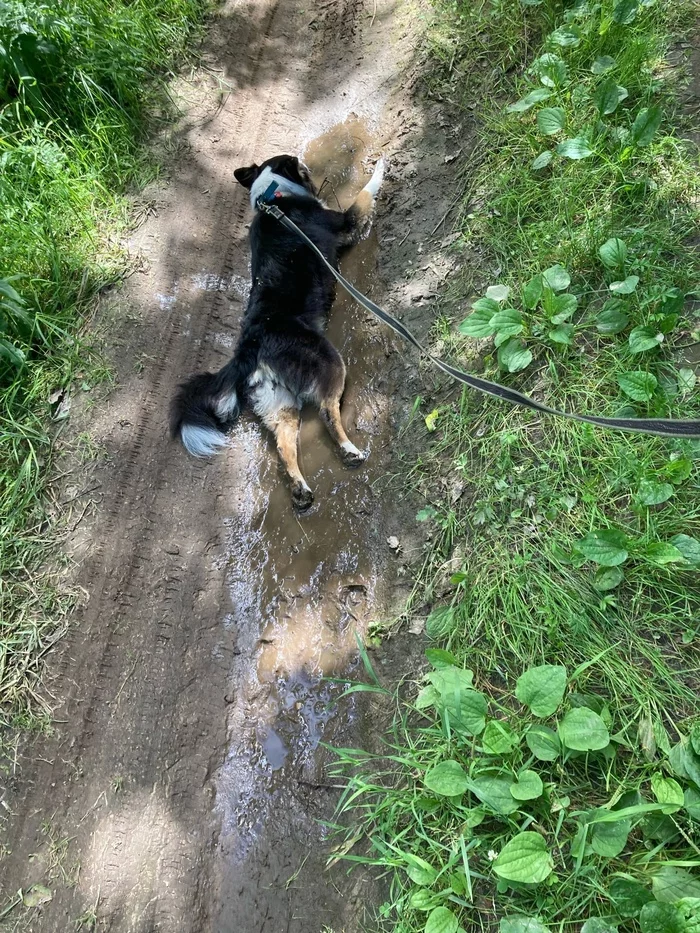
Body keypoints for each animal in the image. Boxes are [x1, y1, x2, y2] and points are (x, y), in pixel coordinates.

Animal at [172, 152, 386, 510]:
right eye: (297, 163)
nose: (305, 164)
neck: (274, 197)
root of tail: (250, 348)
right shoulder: (345, 223)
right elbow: (365, 192)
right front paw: (382, 165)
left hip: (279, 405)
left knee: (285, 449)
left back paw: (301, 489)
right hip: (328, 362)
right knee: (328, 411)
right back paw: (349, 451)